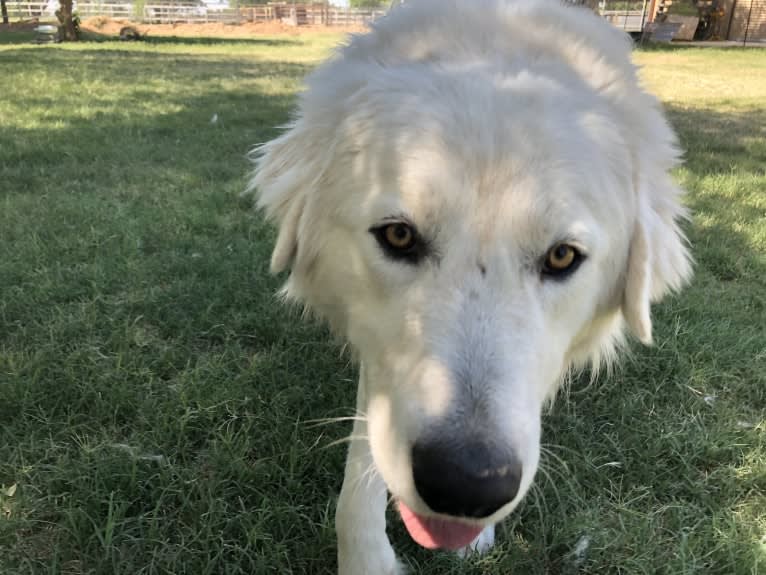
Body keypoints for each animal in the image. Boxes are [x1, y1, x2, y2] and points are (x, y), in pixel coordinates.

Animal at [252, 2, 696, 572]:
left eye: (562, 256)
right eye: (398, 235)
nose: (468, 485)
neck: (489, 42)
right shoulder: (379, 363)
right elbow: (361, 471)